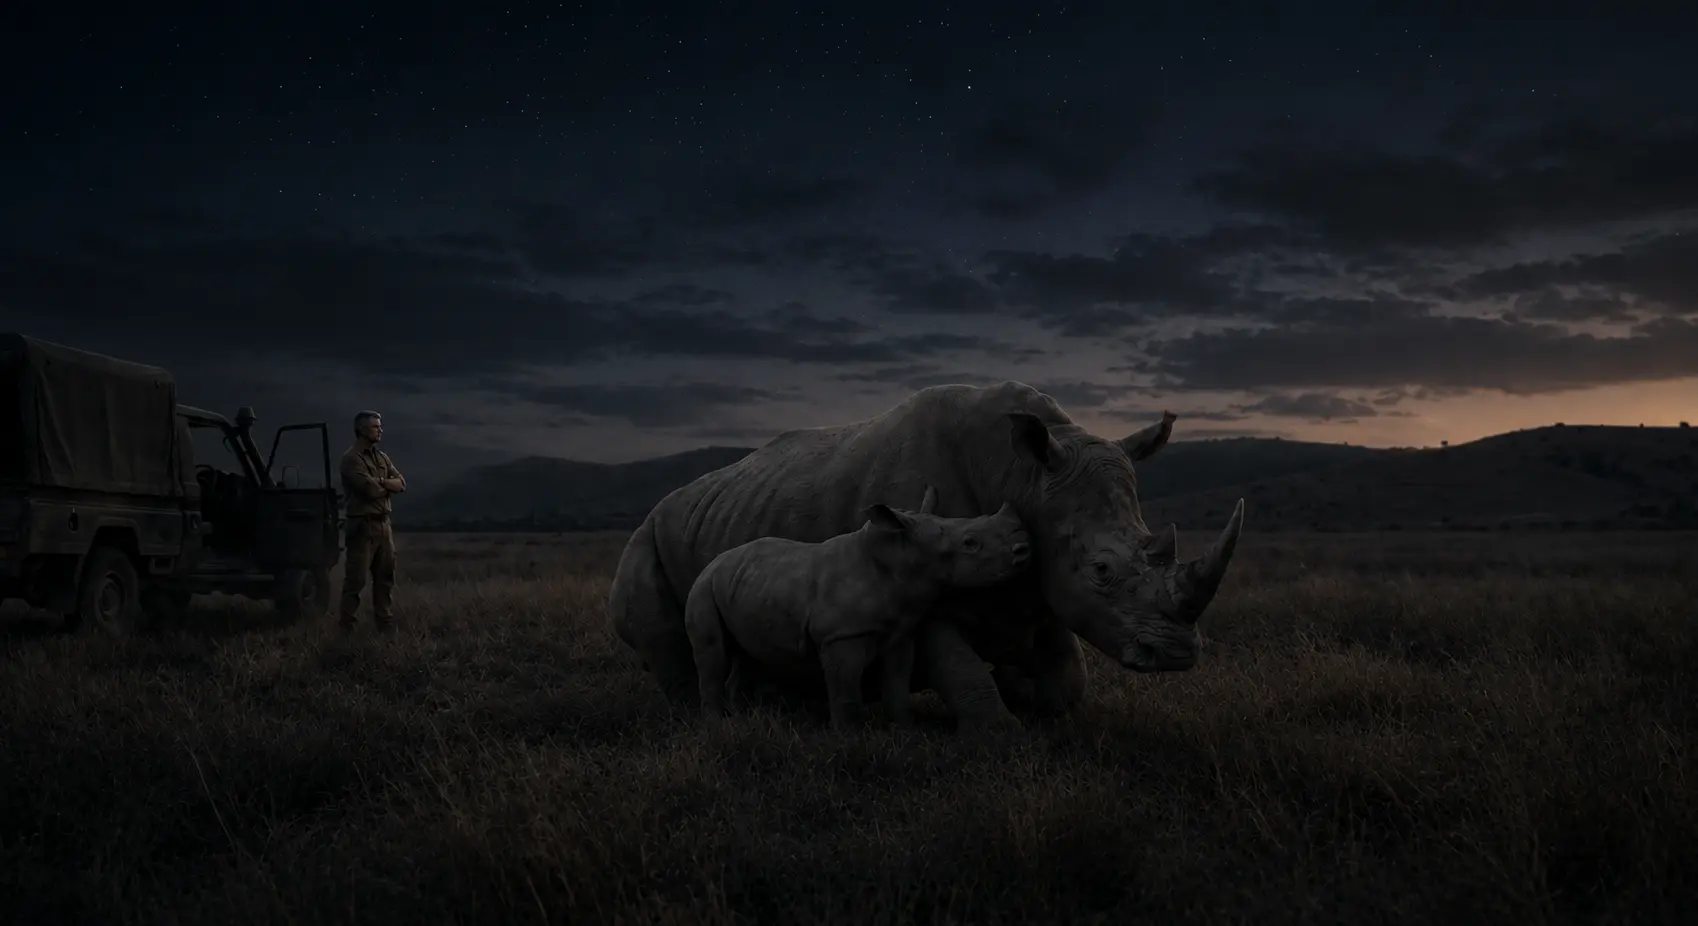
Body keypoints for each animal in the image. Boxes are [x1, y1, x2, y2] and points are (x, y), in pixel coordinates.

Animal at [685, 486, 1032, 727]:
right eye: (970, 543)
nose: (1023, 550)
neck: (901, 555)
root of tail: (713, 562)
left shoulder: (902, 631)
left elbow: (897, 682)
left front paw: (904, 729)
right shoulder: (840, 636)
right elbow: (846, 687)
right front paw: (849, 736)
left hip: (740, 584)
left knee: (746, 654)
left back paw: (742, 720)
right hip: (702, 589)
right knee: (712, 651)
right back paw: (718, 725)